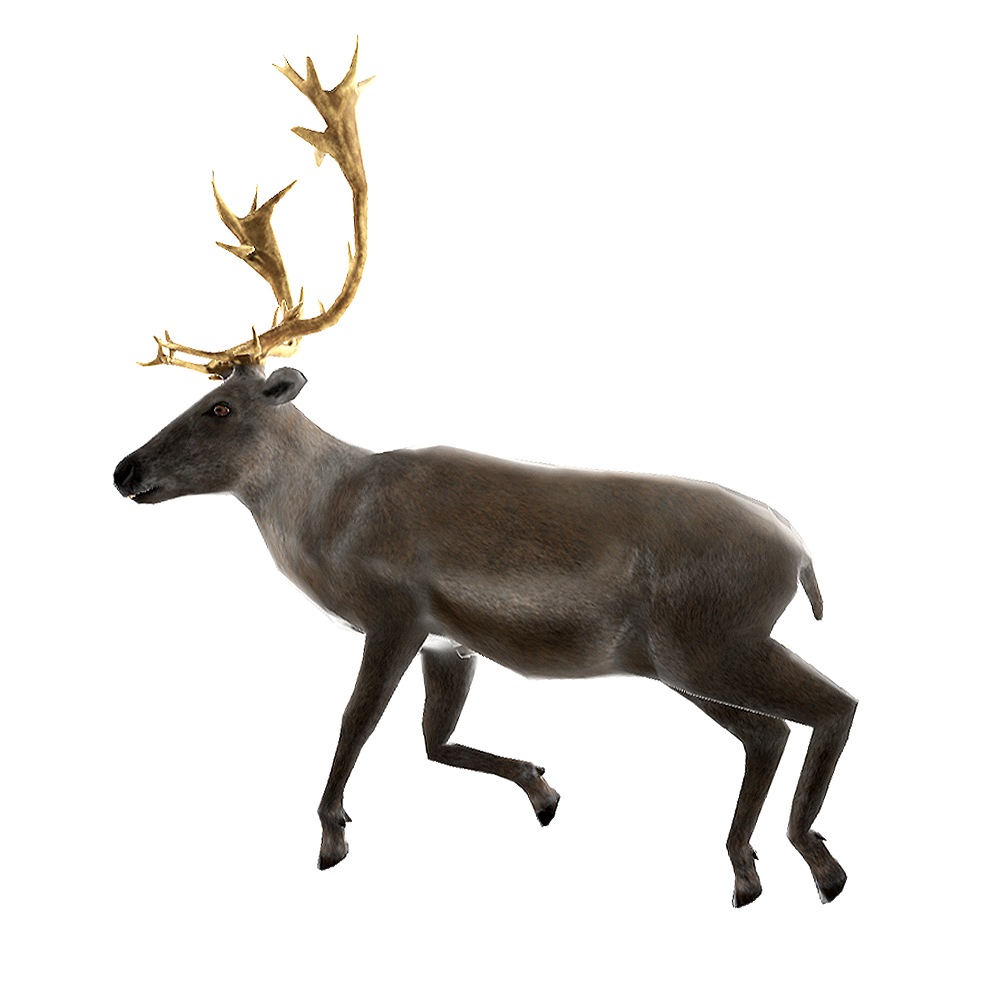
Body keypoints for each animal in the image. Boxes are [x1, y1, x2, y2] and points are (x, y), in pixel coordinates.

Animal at [113, 41, 857, 907]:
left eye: (221, 407)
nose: (123, 470)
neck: (332, 515)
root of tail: (801, 557)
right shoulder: (450, 641)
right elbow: (435, 741)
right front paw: (543, 788)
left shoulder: (395, 611)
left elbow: (355, 721)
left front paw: (331, 836)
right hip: (685, 658)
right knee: (767, 732)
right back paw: (749, 868)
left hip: (709, 639)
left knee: (829, 705)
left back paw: (813, 862)